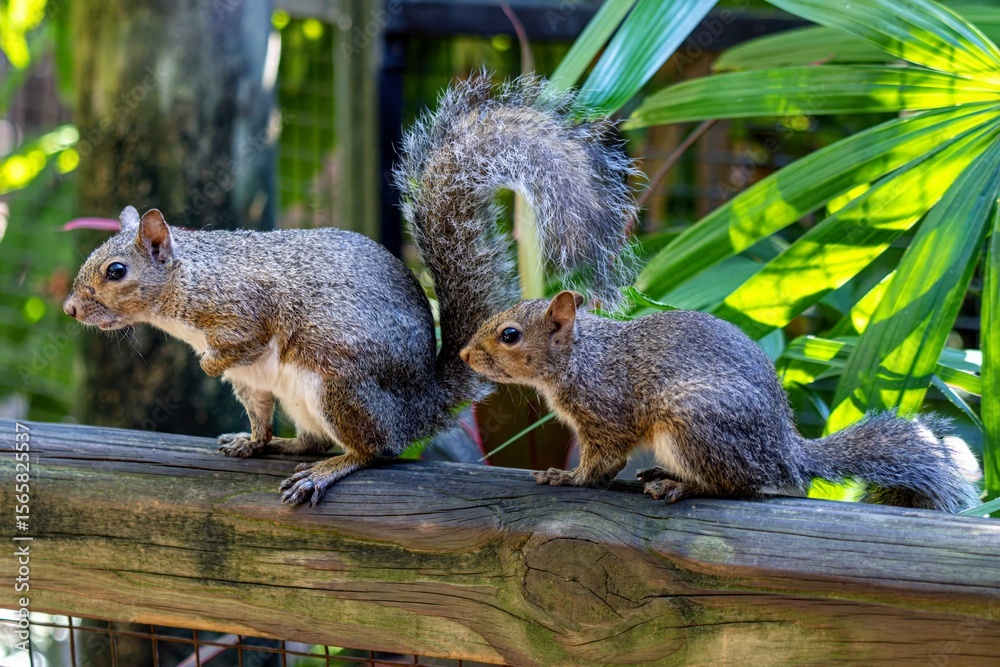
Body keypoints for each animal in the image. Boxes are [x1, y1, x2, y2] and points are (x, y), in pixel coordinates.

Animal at [62, 73, 638, 506]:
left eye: (116, 271)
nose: (69, 308)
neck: (190, 280)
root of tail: (419, 406)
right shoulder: (251, 381)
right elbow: (256, 410)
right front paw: (250, 440)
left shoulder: (244, 308)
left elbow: (245, 340)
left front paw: (207, 365)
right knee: (315, 438)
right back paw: (290, 447)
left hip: (340, 385)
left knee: (373, 450)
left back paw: (329, 468)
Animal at [459, 291, 983, 513]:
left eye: (510, 335)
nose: (463, 355)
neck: (579, 356)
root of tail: (785, 452)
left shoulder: (606, 414)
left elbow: (603, 463)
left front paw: (566, 477)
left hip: (694, 421)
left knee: (738, 486)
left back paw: (680, 486)